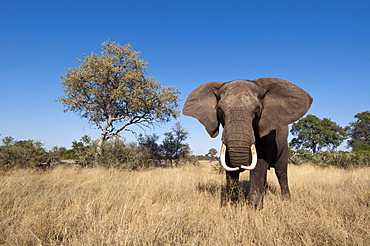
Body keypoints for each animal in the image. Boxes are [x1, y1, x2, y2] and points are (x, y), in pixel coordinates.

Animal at [183, 77, 312, 208]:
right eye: (220, 111)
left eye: (257, 110)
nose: (241, 166)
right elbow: (230, 167)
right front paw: (231, 205)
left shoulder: (267, 133)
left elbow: (259, 164)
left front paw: (254, 208)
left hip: (284, 146)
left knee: (281, 171)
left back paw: (286, 200)